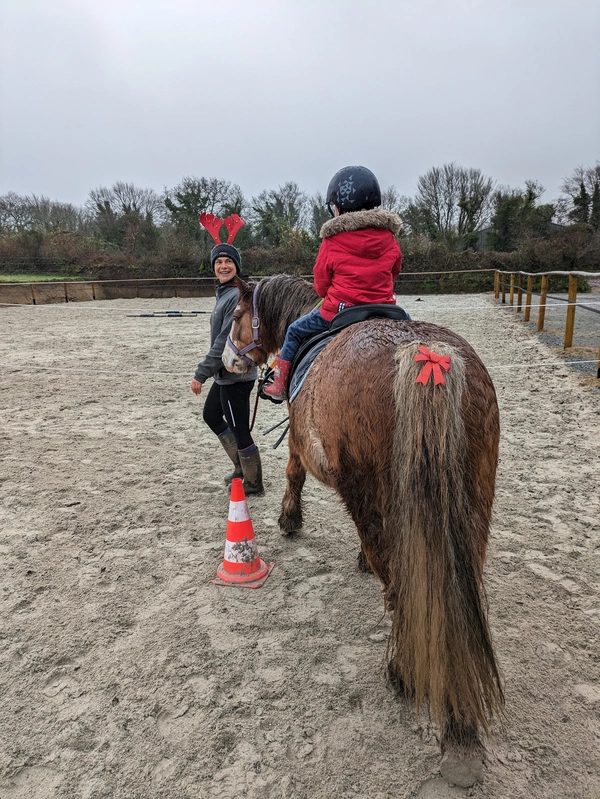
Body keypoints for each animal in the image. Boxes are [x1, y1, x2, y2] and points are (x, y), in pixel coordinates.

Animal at [220, 276, 502, 788]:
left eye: (236, 315)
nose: (230, 362)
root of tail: (425, 355)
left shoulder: (298, 440)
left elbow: (293, 473)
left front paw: (289, 520)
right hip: (473, 502)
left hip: (369, 494)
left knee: (399, 585)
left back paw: (402, 671)